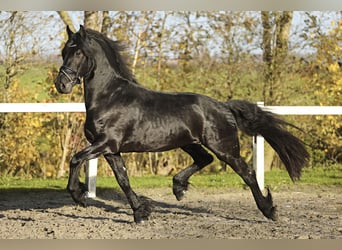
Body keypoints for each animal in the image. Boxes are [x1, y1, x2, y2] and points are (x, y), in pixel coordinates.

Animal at [54, 26, 308, 224]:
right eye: (64, 51)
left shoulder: (105, 143)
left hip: (224, 147)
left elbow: (75, 159)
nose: (61, 85)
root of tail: (224, 106)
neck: (111, 97)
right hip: (188, 142)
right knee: (205, 159)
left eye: (78, 52)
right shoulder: (111, 150)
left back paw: (269, 211)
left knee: (246, 172)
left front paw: (78, 196)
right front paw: (141, 212)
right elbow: (123, 180)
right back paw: (178, 188)